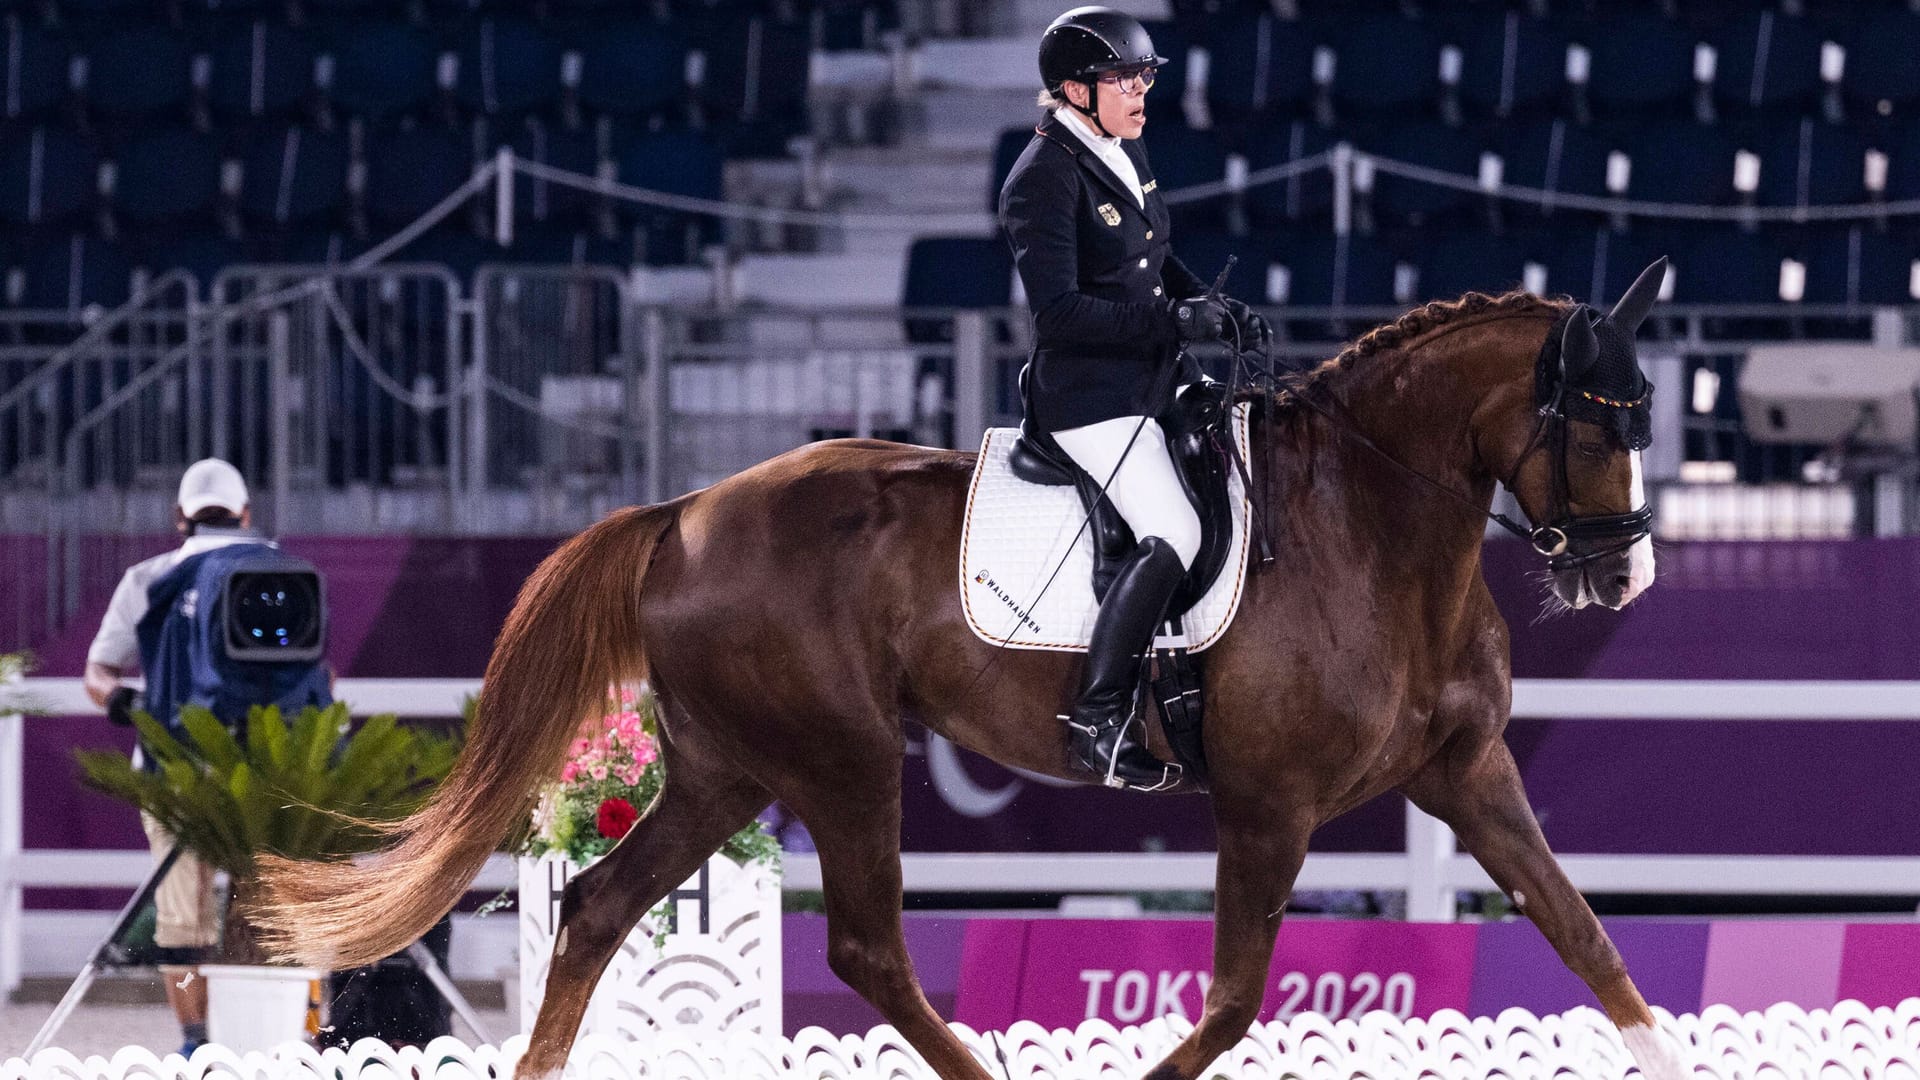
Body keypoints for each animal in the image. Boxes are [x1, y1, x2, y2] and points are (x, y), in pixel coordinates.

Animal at [255, 270, 1681, 1076]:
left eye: (1650, 411)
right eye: (1592, 415)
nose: (1625, 577)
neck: (1374, 530)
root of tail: (686, 509)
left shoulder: (1467, 775)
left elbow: (1587, 936)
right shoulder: (1266, 806)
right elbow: (1229, 1002)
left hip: (727, 769)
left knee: (603, 908)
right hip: (839, 760)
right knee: (868, 948)